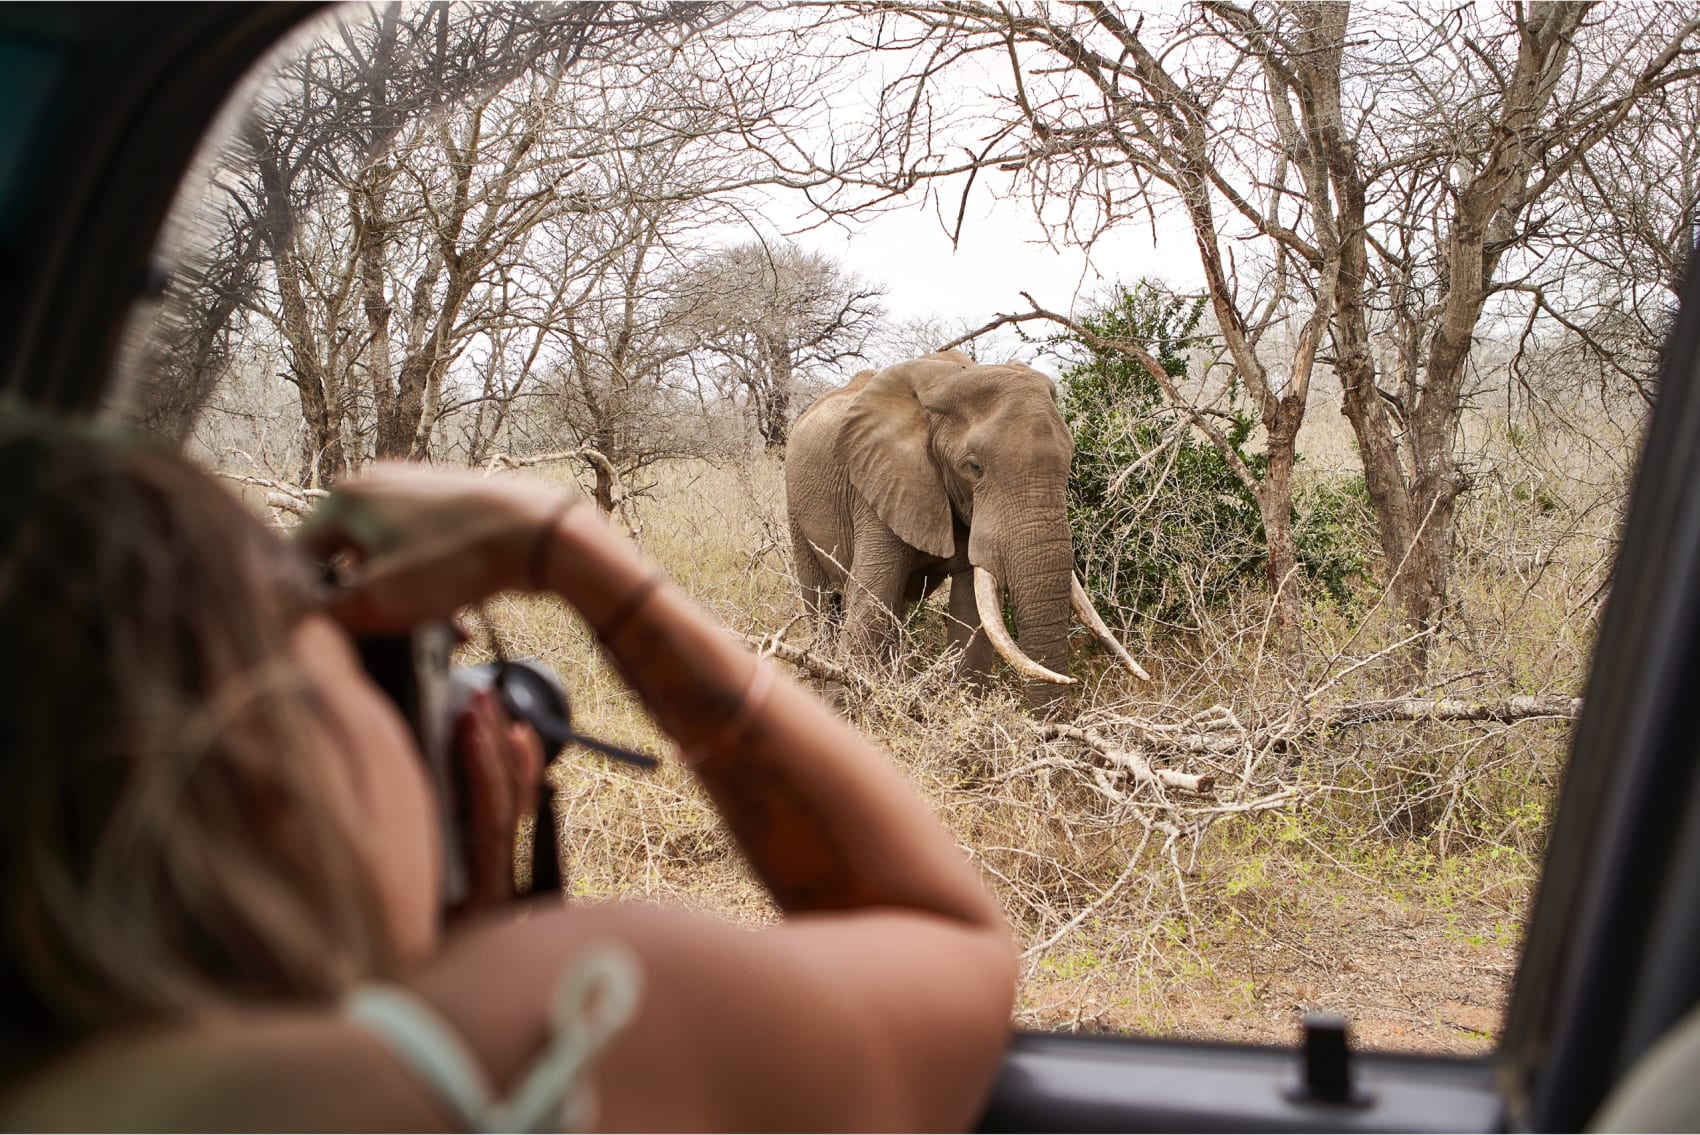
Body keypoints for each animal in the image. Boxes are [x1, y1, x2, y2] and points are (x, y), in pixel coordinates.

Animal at [782, 348, 1142, 700]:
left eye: (1070, 459)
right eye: (974, 467)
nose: (1071, 683)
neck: (949, 381)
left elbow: (972, 613)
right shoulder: (880, 483)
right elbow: (872, 601)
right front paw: (844, 701)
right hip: (795, 507)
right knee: (821, 601)